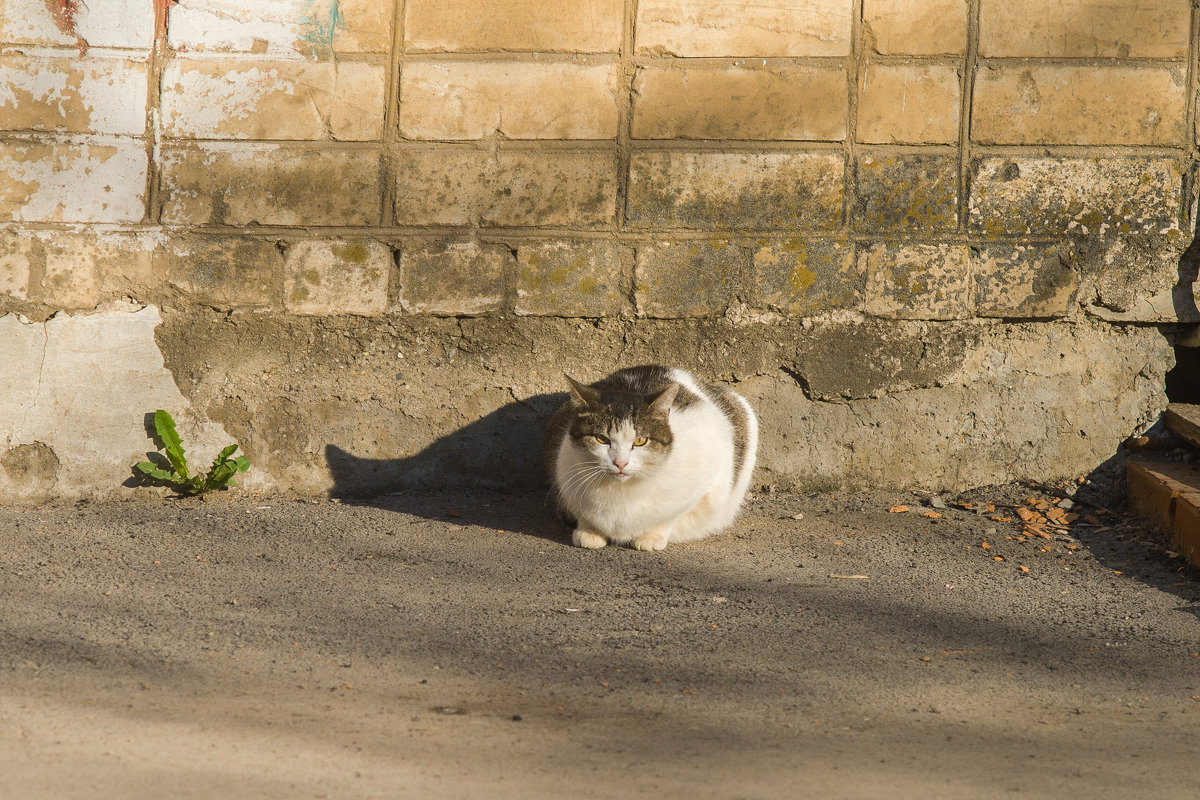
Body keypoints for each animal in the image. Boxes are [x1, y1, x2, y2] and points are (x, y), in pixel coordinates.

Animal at [547, 367, 758, 551]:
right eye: (602, 439)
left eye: (640, 440)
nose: (620, 463)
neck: (621, 494)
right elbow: (582, 513)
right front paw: (588, 531)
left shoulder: (708, 479)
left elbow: (671, 515)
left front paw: (652, 536)